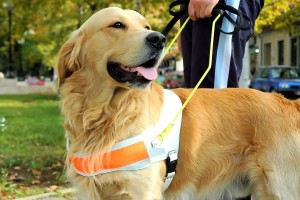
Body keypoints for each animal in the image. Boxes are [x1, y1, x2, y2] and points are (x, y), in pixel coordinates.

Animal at [57, 6, 300, 200]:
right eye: (117, 25)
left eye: (146, 26)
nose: (158, 39)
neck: (107, 113)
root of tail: (288, 103)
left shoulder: (141, 192)